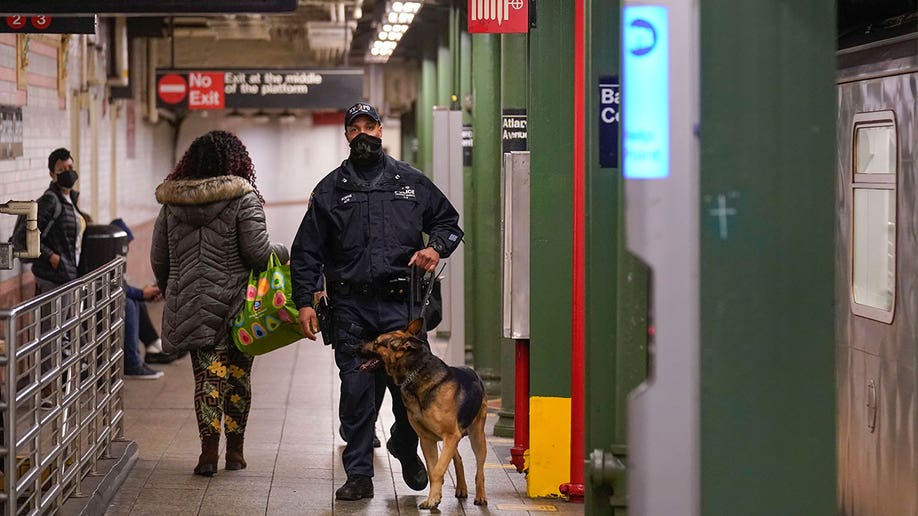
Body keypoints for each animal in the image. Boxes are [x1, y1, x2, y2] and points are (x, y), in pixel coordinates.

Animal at [360, 318, 488, 508]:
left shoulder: (450, 436)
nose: (356, 345)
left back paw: (480, 496)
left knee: (480, 469)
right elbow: (434, 469)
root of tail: (474, 372)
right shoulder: (428, 439)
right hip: (453, 438)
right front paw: (434, 498)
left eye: (376, 343)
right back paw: (461, 488)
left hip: (477, 437)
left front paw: (434, 498)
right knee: (458, 458)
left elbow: (438, 470)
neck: (417, 372)